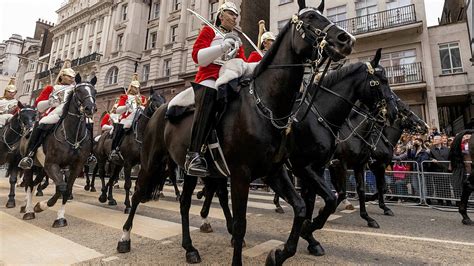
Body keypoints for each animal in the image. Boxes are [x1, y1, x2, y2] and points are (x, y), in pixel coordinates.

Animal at [21, 74, 96, 228]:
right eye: (78, 91)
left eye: (94, 91)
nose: (90, 108)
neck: (73, 136)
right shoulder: (52, 164)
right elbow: (61, 188)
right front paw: (42, 205)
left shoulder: (74, 167)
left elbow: (66, 190)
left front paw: (59, 217)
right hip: (30, 167)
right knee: (29, 185)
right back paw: (29, 210)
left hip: (42, 168)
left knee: (34, 184)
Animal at [115, 1, 356, 264]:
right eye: (310, 17)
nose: (346, 39)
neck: (265, 105)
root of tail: (160, 111)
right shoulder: (242, 174)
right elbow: (241, 224)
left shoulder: (275, 171)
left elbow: (302, 208)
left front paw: (280, 254)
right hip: (151, 161)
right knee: (138, 192)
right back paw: (124, 237)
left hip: (188, 171)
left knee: (185, 204)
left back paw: (190, 248)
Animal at [330, 93, 426, 227]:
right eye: (406, 110)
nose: (425, 126)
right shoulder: (377, 166)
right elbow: (380, 187)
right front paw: (373, 202)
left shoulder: (376, 166)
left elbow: (381, 187)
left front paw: (383, 207)